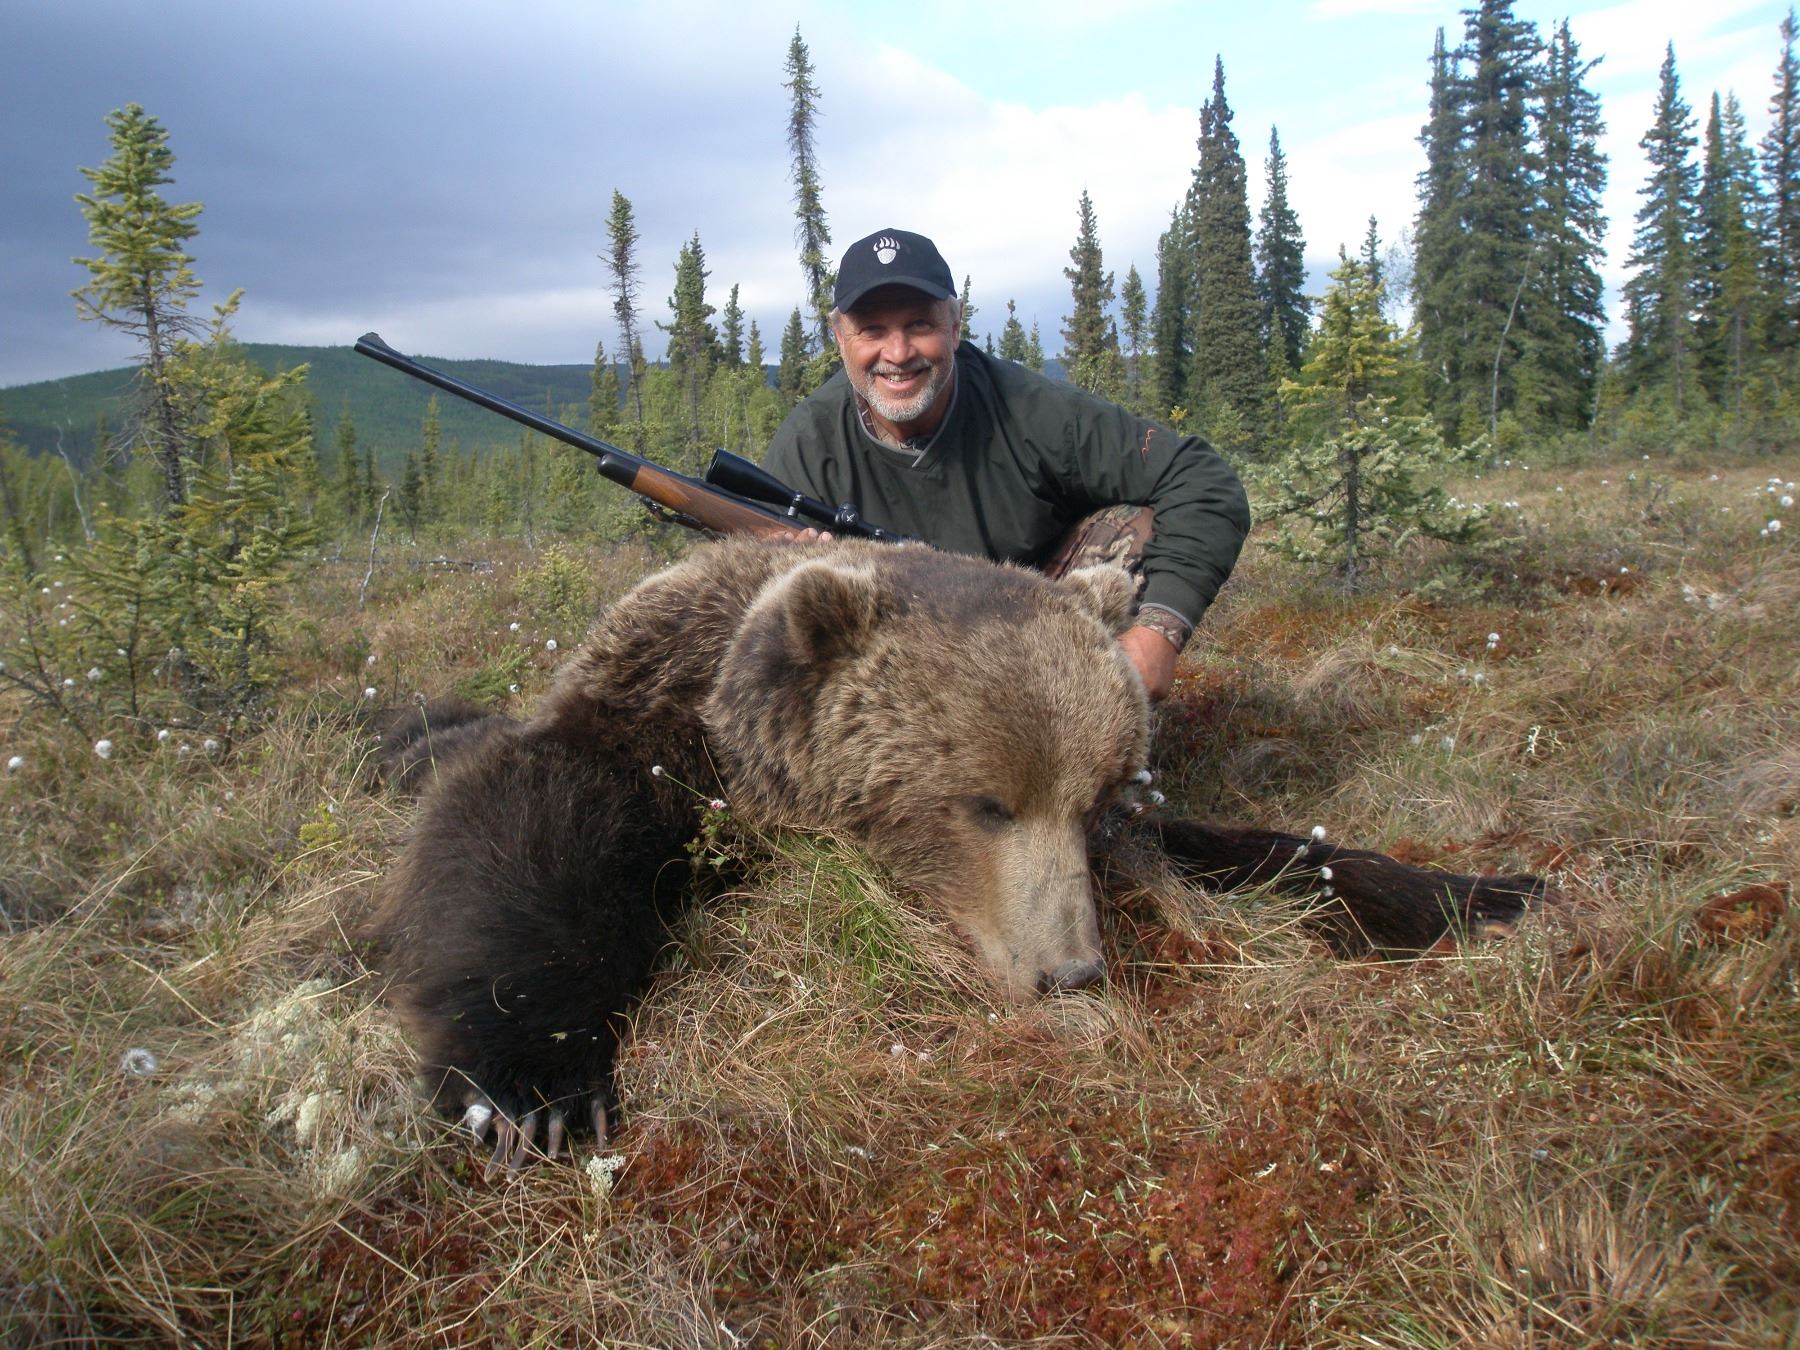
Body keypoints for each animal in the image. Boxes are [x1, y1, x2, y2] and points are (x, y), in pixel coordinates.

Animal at [368, 536, 1543, 1173]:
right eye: (986, 802)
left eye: (1096, 797)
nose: (1071, 971)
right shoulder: (648, 726)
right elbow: (530, 838)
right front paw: (534, 1091)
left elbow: (1253, 853)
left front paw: (1487, 889)